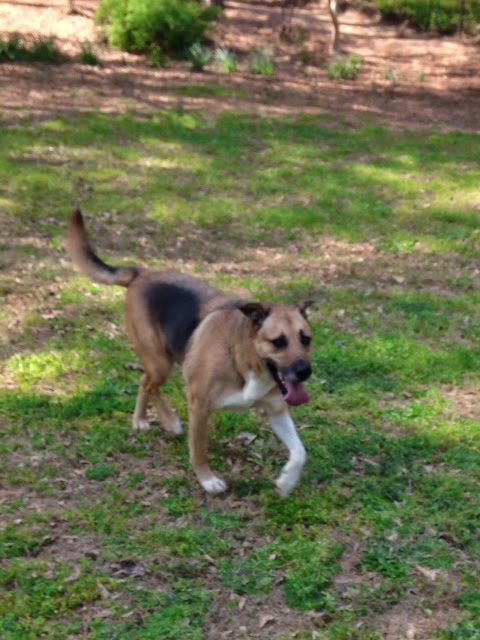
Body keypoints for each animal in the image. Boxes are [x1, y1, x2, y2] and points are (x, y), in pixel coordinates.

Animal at [66, 208, 313, 497]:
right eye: (278, 342)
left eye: (306, 339)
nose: (304, 372)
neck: (242, 358)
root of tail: (141, 274)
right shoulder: (199, 405)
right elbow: (199, 451)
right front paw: (207, 480)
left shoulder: (276, 410)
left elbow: (300, 452)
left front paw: (286, 482)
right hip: (160, 362)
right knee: (148, 382)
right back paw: (157, 420)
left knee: (145, 382)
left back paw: (152, 419)